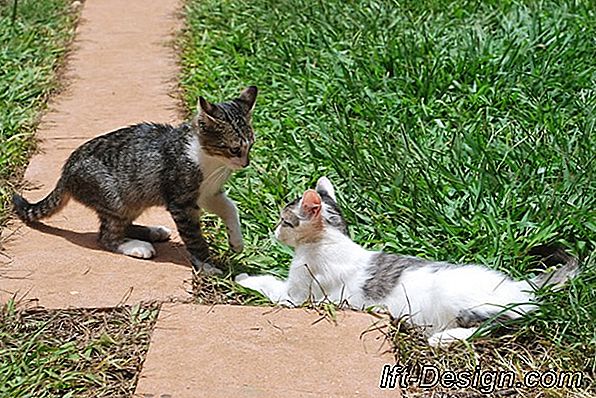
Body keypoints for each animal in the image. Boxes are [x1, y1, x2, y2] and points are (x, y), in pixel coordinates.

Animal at [14, 86, 258, 274]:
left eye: (251, 145)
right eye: (234, 149)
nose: (246, 164)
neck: (209, 161)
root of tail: (65, 171)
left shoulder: (208, 193)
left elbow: (230, 208)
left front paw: (236, 242)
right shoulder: (181, 201)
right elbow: (194, 237)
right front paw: (207, 265)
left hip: (133, 199)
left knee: (122, 225)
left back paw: (154, 232)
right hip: (115, 199)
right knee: (107, 237)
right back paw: (137, 246)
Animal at [236, 176, 576, 346]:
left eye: (285, 221)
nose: (273, 231)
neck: (330, 241)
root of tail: (521, 285)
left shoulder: (295, 297)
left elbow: (268, 282)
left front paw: (243, 278)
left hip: (462, 302)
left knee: (497, 326)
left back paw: (444, 338)